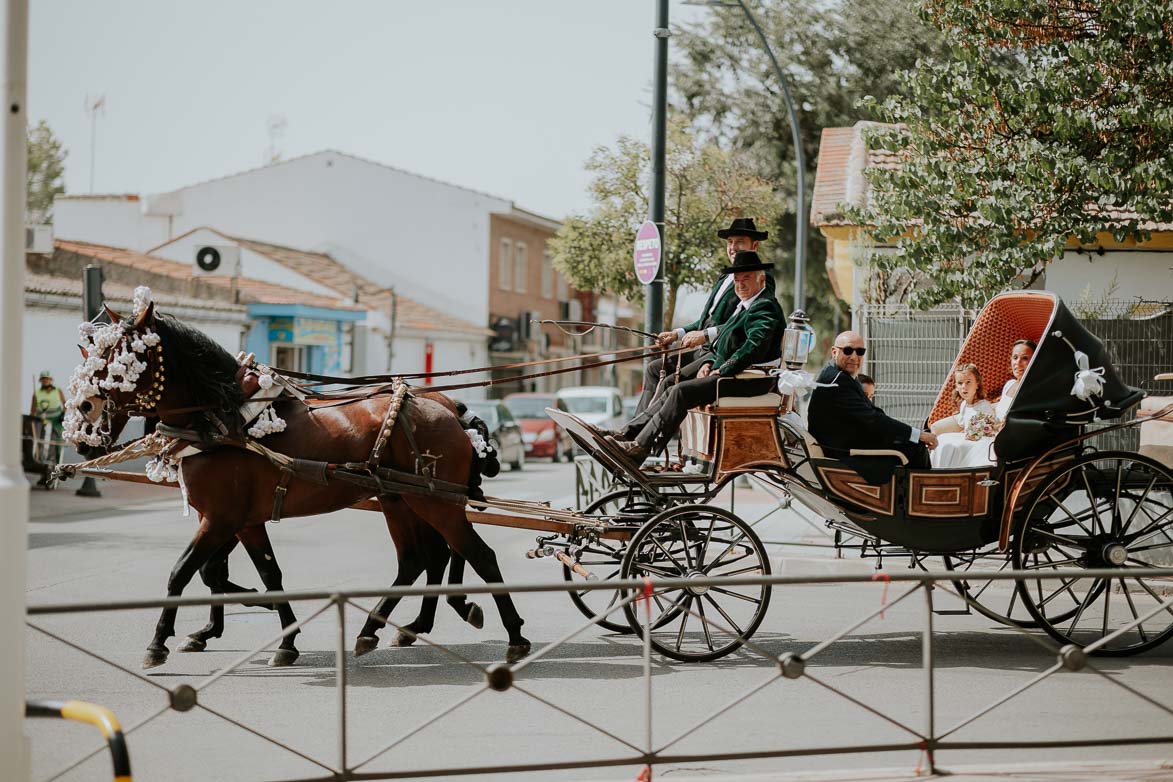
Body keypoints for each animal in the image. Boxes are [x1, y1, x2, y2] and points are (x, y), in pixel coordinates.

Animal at [70, 302, 530, 670]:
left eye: (117, 358)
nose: (84, 413)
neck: (223, 417)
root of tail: (450, 412)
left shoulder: (220, 518)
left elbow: (181, 572)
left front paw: (158, 642)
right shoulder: (240, 521)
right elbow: (258, 573)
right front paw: (279, 635)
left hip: (435, 503)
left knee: (479, 556)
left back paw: (513, 634)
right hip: (400, 499)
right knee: (420, 559)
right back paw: (381, 627)